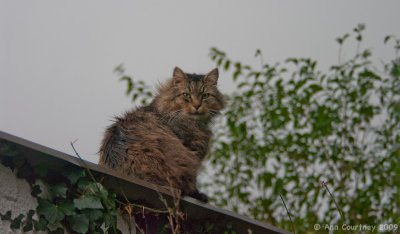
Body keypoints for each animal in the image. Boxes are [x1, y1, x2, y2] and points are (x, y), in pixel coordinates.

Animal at [98, 66, 225, 202]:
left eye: (205, 95)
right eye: (186, 95)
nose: (197, 105)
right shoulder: (192, 152)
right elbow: (194, 183)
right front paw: (198, 195)